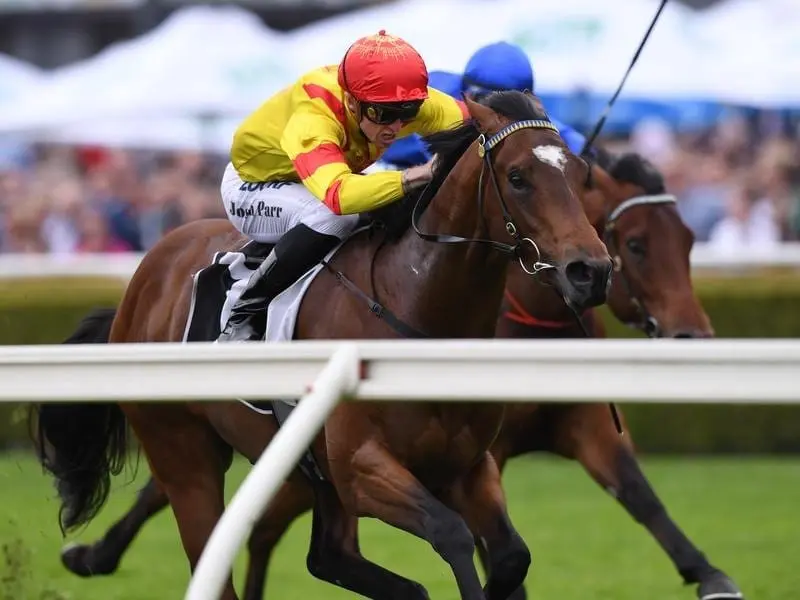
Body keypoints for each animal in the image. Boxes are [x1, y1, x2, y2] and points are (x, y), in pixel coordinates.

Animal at [53, 150, 740, 600]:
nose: (693, 336)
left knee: (317, 550)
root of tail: (148, 273)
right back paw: (94, 554)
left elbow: (623, 501)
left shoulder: (519, 444)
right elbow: (459, 538)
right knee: (203, 520)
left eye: (689, 239)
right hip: (189, 444)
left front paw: (710, 575)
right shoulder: (367, 464)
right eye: (637, 243)